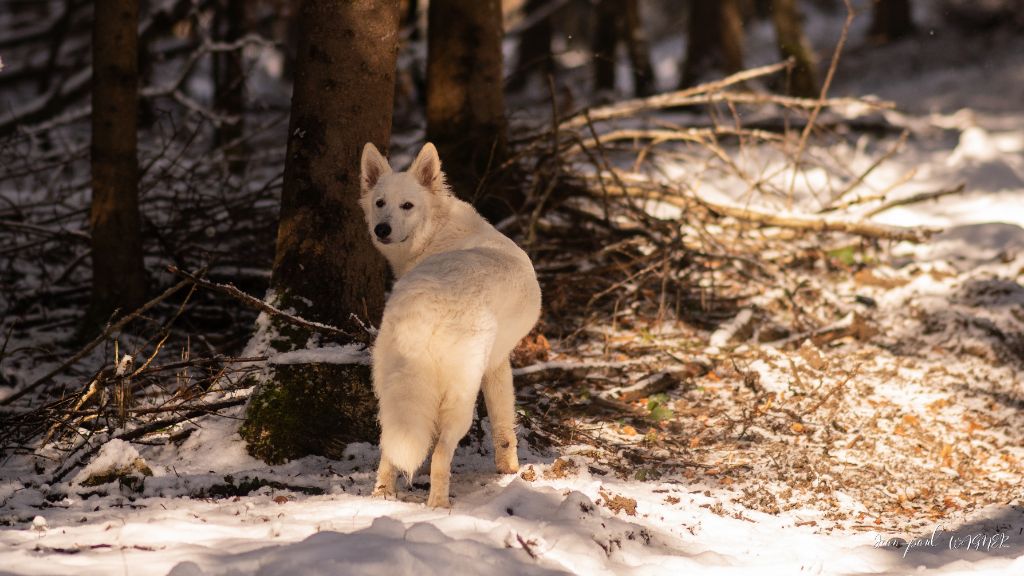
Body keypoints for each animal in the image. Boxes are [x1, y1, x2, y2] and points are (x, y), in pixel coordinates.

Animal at [358, 141, 540, 504]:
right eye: (380, 203)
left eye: (407, 205)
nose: (381, 229)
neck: (436, 232)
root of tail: (425, 308)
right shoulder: (498, 364)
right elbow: (504, 423)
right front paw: (510, 470)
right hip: (461, 399)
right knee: (442, 454)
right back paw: (439, 505)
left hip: (390, 392)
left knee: (390, 449)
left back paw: (383, 495)